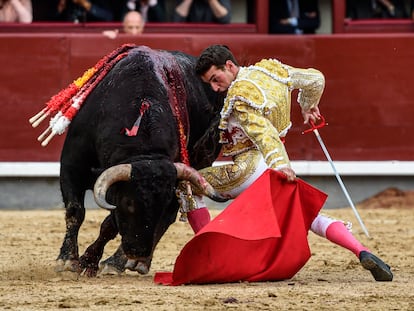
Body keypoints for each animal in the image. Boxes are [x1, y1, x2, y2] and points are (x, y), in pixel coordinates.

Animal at [29, 44, 226, 278]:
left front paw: (94, 261)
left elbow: (110, 224)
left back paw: (125, 262)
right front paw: (67, 260)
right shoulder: (72, 165)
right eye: (129, 203)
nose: (139, 251)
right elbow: (75, 211)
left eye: (159, 207)